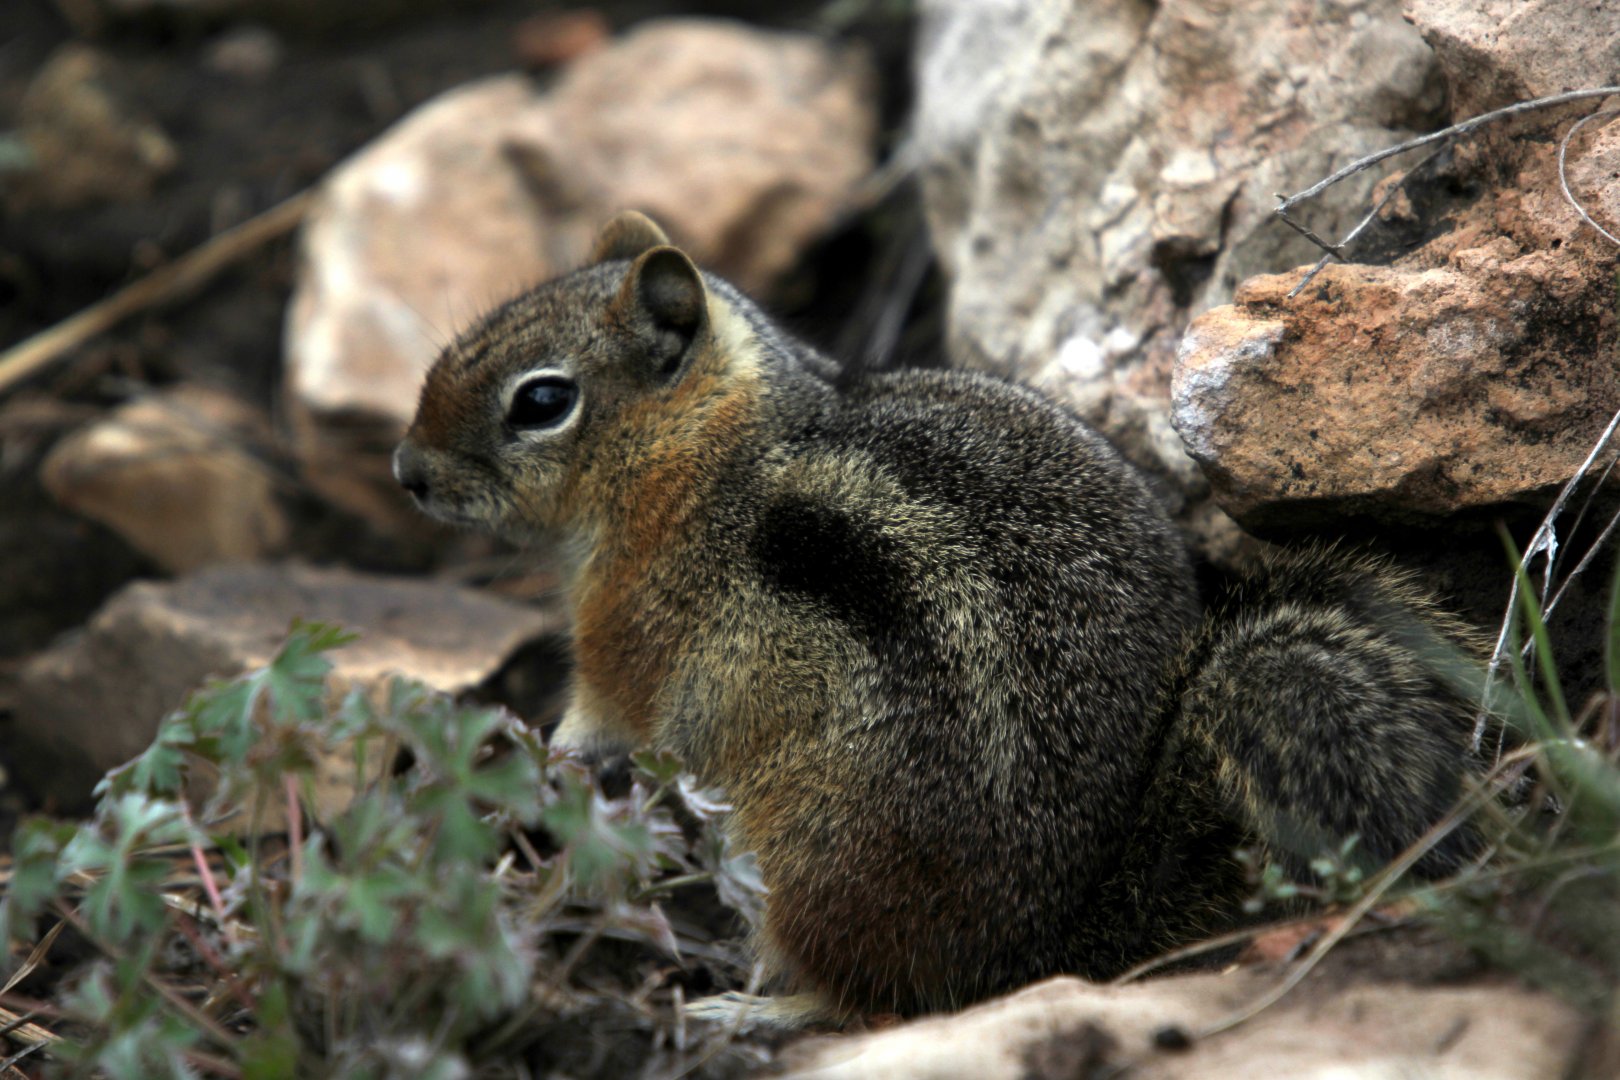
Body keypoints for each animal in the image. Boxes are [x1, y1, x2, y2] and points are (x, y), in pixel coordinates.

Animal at [393, 211, 1488, 1030]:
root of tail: (1042, 941)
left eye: (542, 401)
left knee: (873, 1000)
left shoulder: (625, 629)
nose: (407, 472)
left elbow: (604, 713)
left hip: (804, 856)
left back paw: (754, 1011)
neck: (706, 450)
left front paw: (534, 753)